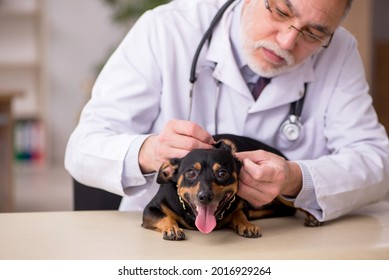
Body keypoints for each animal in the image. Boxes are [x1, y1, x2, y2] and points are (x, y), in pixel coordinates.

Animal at [141, 134, 320, 241]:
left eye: (222, 173)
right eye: (190, 173)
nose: (205, 196)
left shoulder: (240, 206)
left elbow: (239, 214)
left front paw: (246, 225)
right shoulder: (150, 210)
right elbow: (165, 217)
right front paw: (172, 227)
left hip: (282, 191)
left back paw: (312, 216)